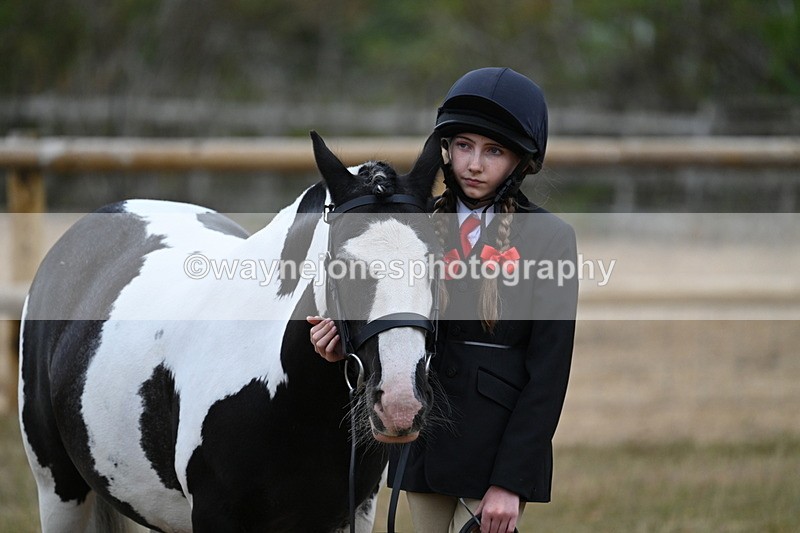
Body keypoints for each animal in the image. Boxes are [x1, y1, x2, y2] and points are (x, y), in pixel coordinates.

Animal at [18, 131, 442, 532]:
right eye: (341, 263)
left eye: (435, 261)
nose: (400, 404)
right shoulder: (213, 515)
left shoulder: (351, 513)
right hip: (58, 490)